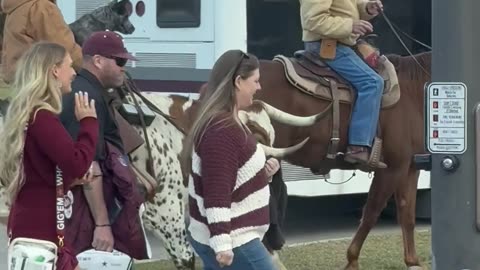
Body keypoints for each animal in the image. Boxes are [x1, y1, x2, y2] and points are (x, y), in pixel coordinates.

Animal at [253, 51, 434, 270]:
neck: (412, 92)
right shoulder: (391, 168)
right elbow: (371, 212)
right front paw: (352, 260)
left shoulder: (409, 167)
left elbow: (407, 214)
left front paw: (412, 261)